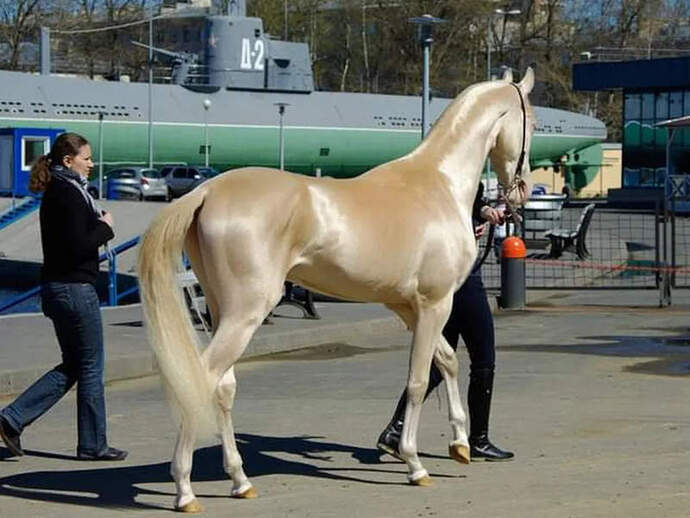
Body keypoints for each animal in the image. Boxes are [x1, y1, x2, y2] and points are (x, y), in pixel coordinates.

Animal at [137, 67, 535, 512]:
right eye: (532, 121)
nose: (521, 190)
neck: (439, 184)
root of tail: (207, 190)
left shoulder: (409, 308)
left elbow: (446, 362)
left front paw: (461, 444)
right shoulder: (435, 304)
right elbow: (418, 380)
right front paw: (415, 464)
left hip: (224, 312)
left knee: (223, 388)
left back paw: (240, 481)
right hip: (245, 315)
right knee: (200, 381)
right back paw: (185, 491)